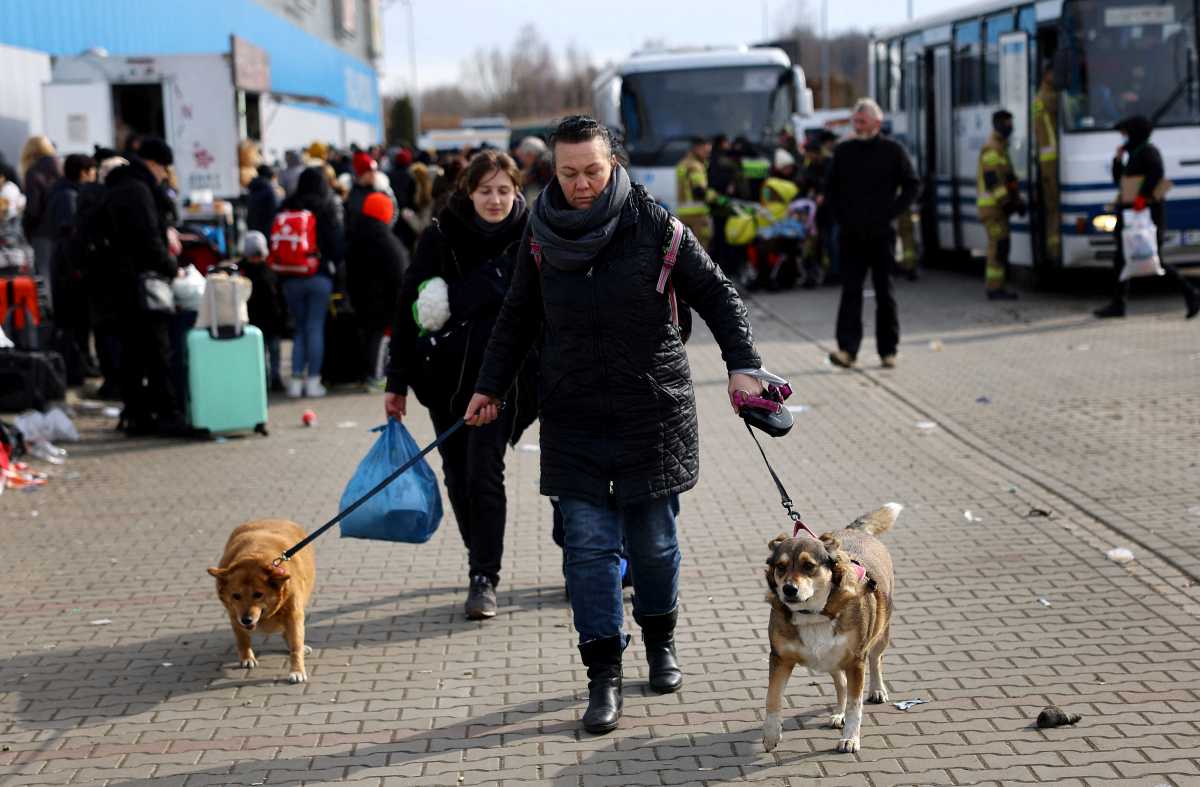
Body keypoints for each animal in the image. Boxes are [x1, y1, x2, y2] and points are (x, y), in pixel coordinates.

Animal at [208, 515, 316, 681]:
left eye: (258, 594)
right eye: (236, 596)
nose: (246, 620)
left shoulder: (294, 614)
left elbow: (296, 646)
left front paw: (297, 670)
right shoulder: (234, 615)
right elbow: (242, 639)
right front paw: (247, 657)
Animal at [758, 501, 902, 753]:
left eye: (809, 566)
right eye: (781, 567)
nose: (789, 590)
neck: (814, 614)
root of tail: (854, 531)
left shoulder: (855, 660)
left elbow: (856, 706)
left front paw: (851, 738)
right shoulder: (780, 658)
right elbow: (772, 697)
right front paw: (771, 734)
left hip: (880, 634)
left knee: (876, 660)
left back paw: (877, 690)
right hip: (832, 658)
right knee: (841, 683)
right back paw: (838, 714)